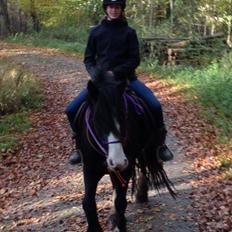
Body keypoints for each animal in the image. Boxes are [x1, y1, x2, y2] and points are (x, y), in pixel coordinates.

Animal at [75, 74, 176, 232]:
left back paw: (140, 195)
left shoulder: (126, 168)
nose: (118, 161)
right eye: (96, 120)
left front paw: (120, 225)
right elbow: (88, 202)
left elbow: (121, 202)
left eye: (125, 116)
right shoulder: (90, 169)